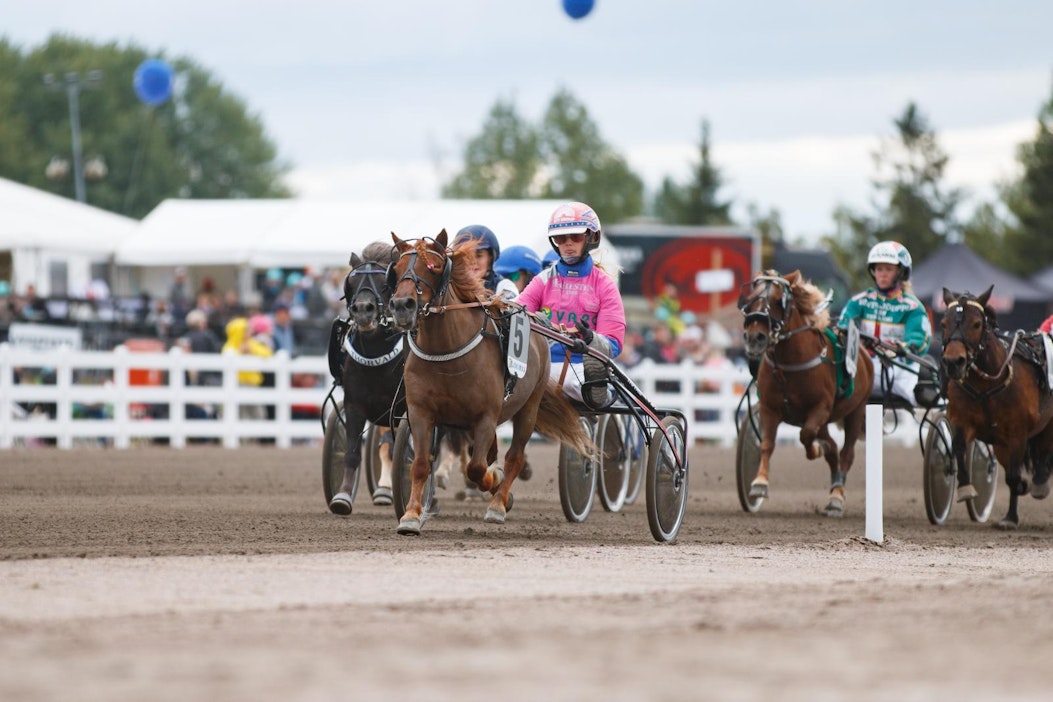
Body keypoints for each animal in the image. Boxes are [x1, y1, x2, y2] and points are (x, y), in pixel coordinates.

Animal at [385, 228, 593, 534]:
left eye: (433, 266)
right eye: (397, 269)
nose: (402, 306)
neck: (446, 352)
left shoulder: (484, 416)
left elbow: (477, 467)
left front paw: (494, 483)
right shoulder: (421, 412)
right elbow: (421, 463)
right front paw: (411, 515)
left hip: (528, 409)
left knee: (513, 457)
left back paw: (498, 502)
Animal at [737, 269, 876, 515]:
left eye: (778, 301)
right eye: (752, 298)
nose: (755, 338)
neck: (788, 365)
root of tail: (864, 353)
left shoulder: (820, 408)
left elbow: (806, 435)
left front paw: (816, 450)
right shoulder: (769, 408)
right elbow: (767, 444)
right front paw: (759, 483)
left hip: (856, 411)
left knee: (846, 453)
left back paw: (836, 497)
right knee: (833, 450)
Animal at [939, 286, 1053, 526]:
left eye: (976, 324)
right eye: (943, 323)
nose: (954, 362)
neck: (986, 384)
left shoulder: (1017, 433)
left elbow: (1013, 475)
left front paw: (1011, 516)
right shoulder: (963, 421)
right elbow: (959, 447)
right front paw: (965, 488)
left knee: (1044, 448)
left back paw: (1038, 483)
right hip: (1001, 446)